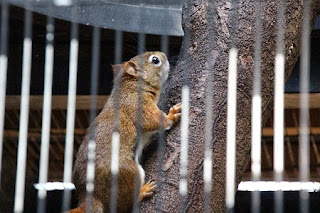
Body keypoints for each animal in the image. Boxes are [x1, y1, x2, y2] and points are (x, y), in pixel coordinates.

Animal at [71, 52, 182, 213]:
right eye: (155, 60)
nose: (165, 55)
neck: (131, 85)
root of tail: (90, 194)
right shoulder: (137, 104)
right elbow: (153, 120)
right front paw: (172, 115)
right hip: (128, 173)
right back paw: (143, 191)